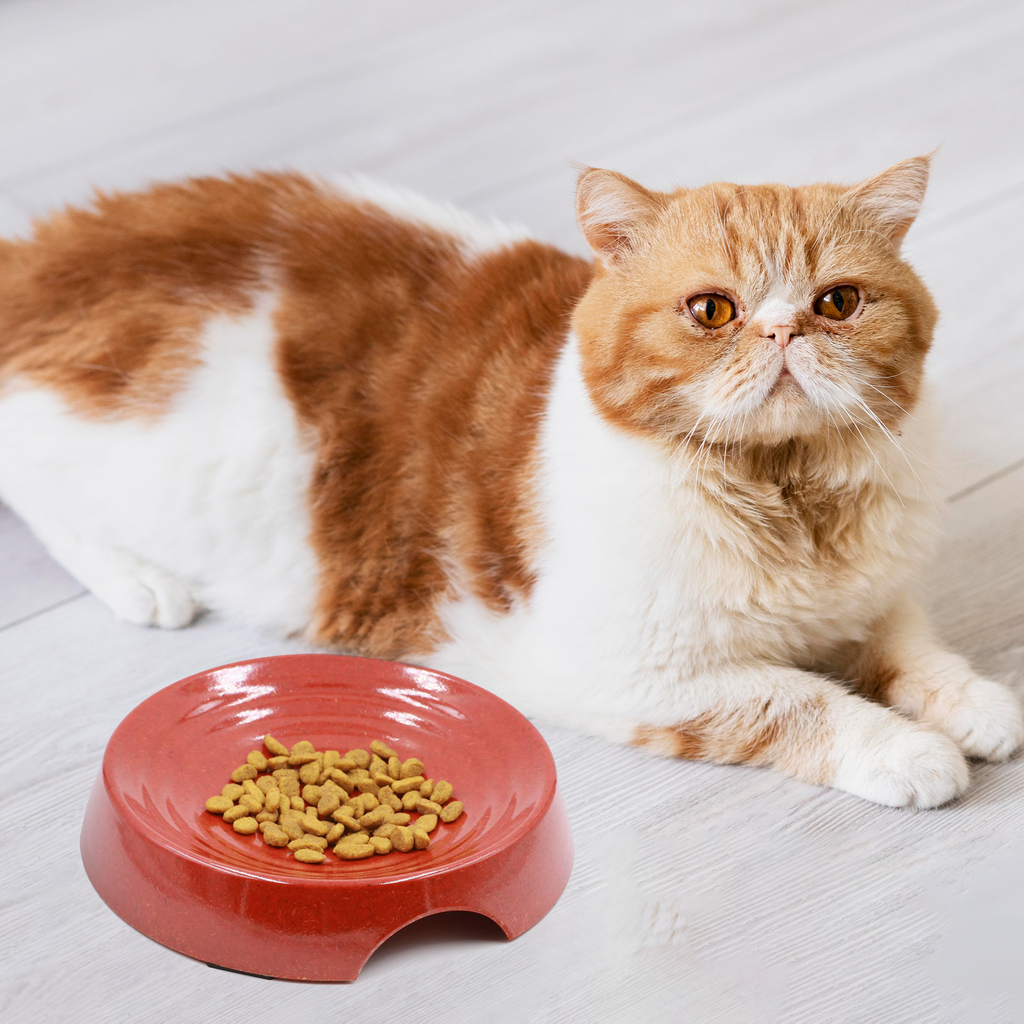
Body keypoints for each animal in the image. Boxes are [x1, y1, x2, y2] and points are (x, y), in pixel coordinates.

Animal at [0, 157, 1015, 806]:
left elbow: (910, 646)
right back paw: (141, 584)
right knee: (36, 490)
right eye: (712, 311)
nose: (783, 331)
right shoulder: (630, 674)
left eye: (837, 303)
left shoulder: (870, 596)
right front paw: (912, 751)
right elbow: (800, 700)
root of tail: (44, 250)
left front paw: (975, 705)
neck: (788, 492)